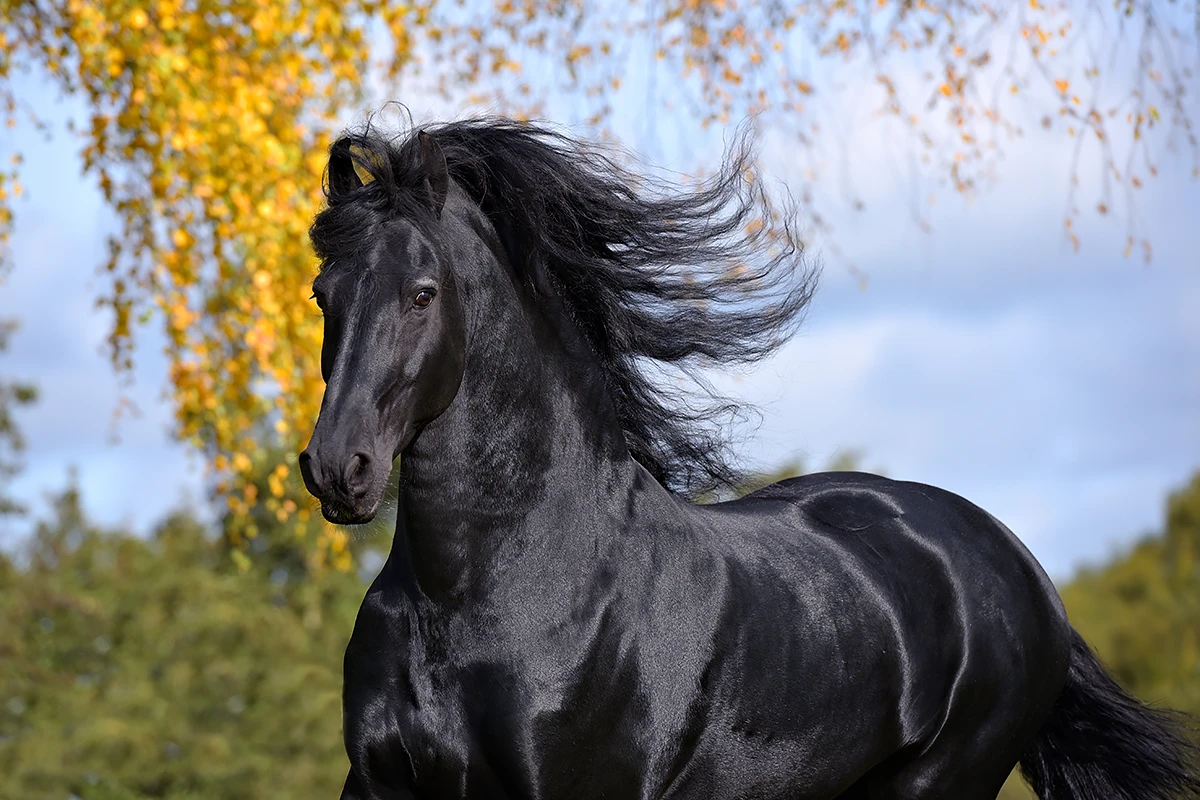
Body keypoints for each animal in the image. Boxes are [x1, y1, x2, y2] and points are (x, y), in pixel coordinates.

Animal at [297, 120, 1200, 800]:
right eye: (322, 293)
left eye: (423, 293)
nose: (338, 469)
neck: (485, 591)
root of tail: (1021, 564)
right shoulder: (375, 784)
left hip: (939, 784)